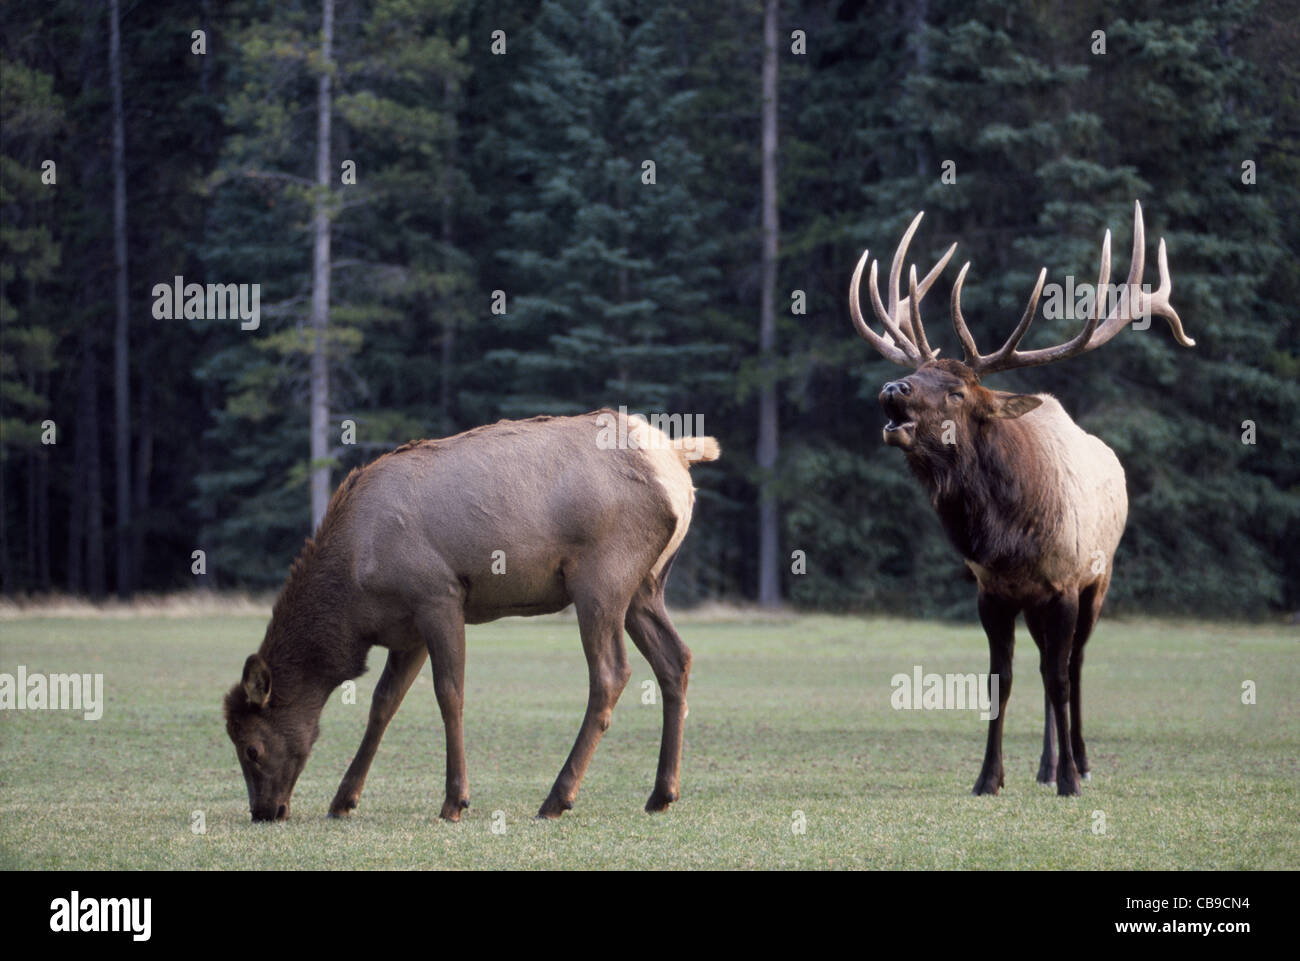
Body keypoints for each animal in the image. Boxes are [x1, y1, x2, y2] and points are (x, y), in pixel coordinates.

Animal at [218, 410, 717, 821]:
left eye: (251, 748)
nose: (265, 812)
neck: (355, 596)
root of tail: (676, 462)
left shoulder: (437, 595)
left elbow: (449, 694)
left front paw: (455, 801)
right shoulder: (406, 630)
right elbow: (383, 704)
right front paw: (343, 799)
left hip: (601, 577)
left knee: (612, 672)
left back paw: (557, 798)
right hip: (645, 586)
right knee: (677, 658)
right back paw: (661, 794)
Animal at [847, 202, 1190, 795]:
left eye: (957, 392)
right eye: (915, 372)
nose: (893, 389)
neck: (1007, 536)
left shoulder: (1067, 583)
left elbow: (1060, 677)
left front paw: (1072, 781)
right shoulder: (993, 591)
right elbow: (999, 681)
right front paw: (989, 778)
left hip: (1100, 579)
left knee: (1071, 665)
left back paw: (1078, 762)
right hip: (1036, 603)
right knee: (1044, 664)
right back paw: (1047, 765)